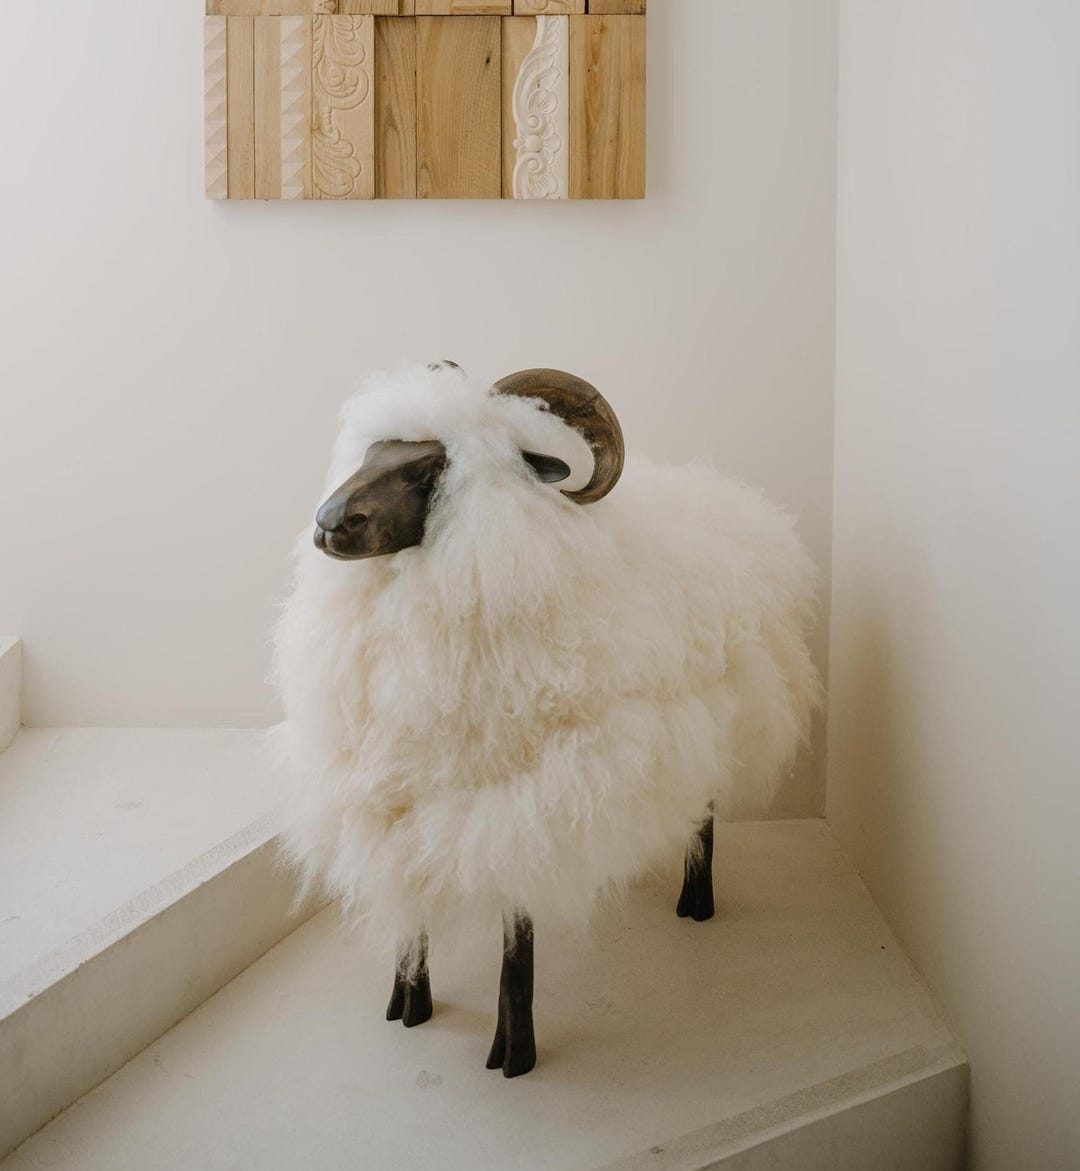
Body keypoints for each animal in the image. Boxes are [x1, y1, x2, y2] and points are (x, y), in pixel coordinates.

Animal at [272, 361, 821, 1078]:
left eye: (430, 469)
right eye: (372, 453)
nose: (330, 521)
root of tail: (738, 499)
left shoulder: (527, 808)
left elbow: (518, 946)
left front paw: (515, 1052)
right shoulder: (401, 800)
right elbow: (410, 913)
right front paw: (408, 1000)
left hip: (711, 724)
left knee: (703, 818)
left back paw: (695, 903)